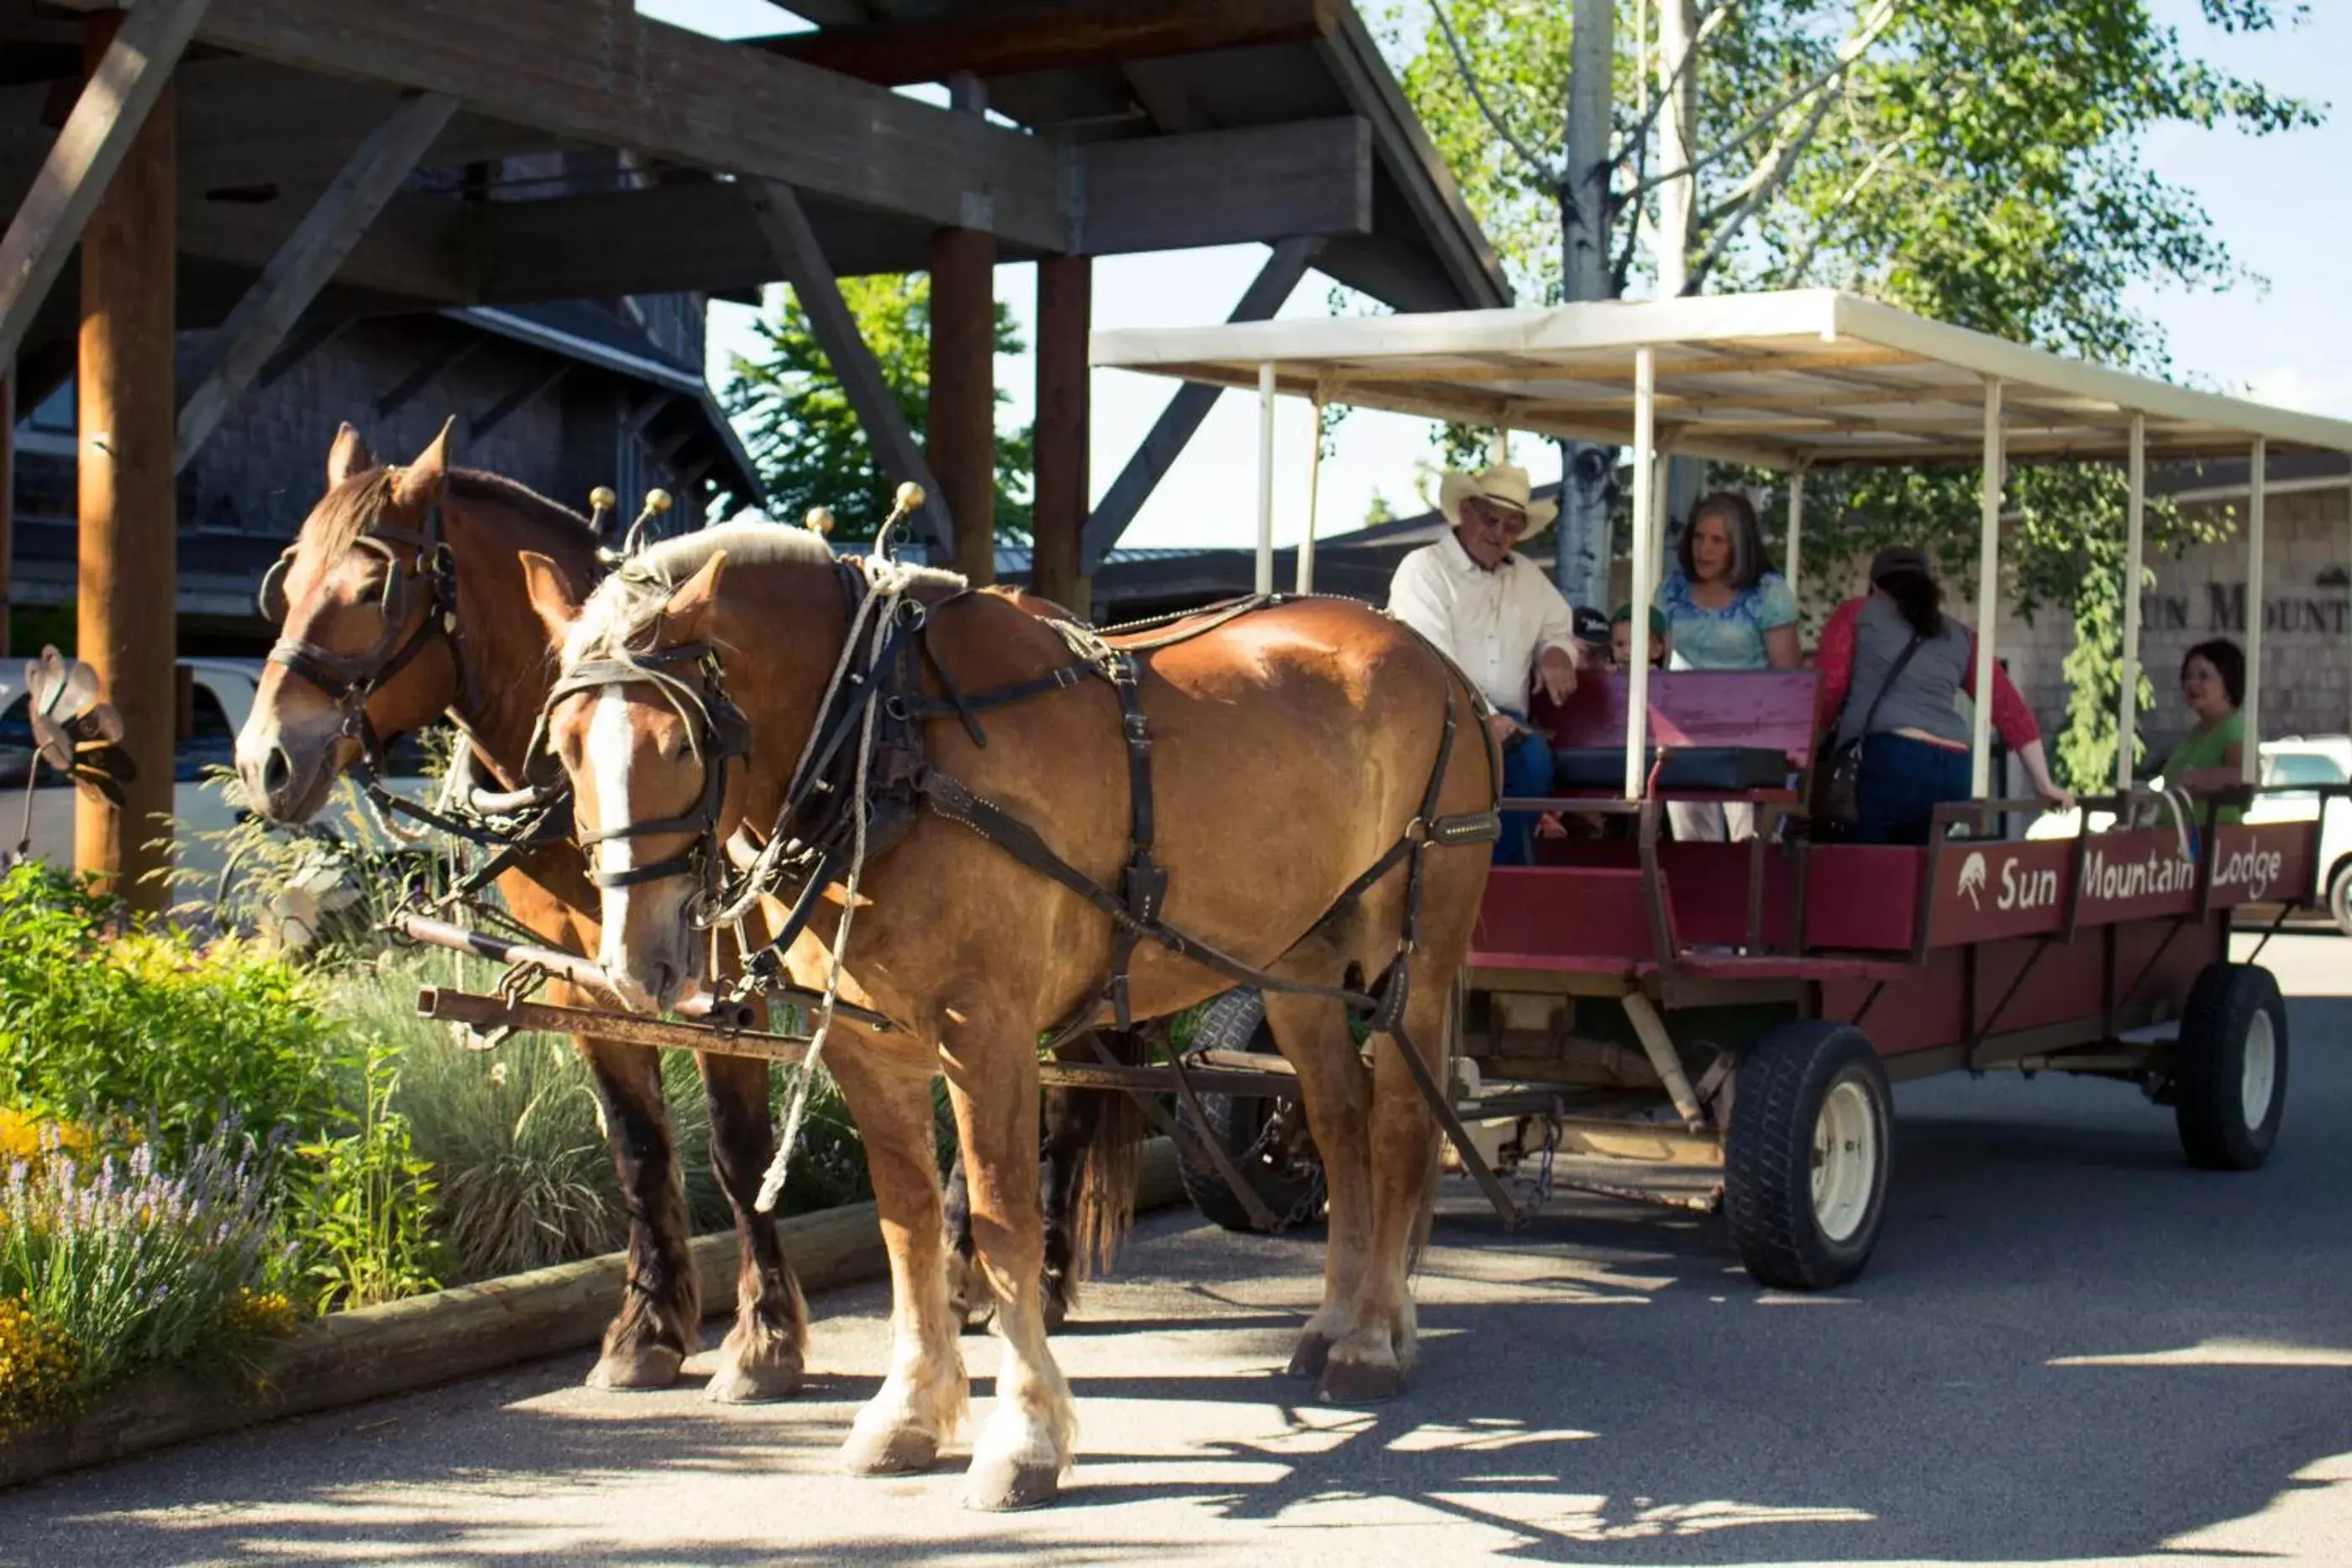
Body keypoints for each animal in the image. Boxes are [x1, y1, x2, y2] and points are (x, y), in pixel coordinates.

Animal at [236, 422, 1147, 1401]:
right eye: (286, 583)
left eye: (374, 589)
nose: (263, 761)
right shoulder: (588, 983)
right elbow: (638, 1148)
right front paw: (646, 1327)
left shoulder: (725, 989)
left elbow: (740, 1152)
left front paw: (764, 1338)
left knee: (1064, 1098)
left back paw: (1028, 1277)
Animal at [524, 524, 1495, 1504]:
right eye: (565, 748)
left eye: (684, 746)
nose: (636, 961)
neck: (884, 738)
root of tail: (1436, 662)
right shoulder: (869, 1045)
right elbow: (909, 1223)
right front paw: (908, 1413)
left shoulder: (985, 1032)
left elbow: (1000, 1224)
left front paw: (1022, 1438)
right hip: (1297, 966)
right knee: (1337, 1122)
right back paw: (1333, 1320)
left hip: (1417, 954)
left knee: (1399, 1127)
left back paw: (1372, 1337)